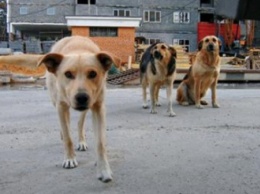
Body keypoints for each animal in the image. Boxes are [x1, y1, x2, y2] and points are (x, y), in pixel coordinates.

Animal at [37, 35, 120, 183]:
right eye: (68, 74)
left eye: (93, 73)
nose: (81, 97)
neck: (78, 49)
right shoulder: (61, 105)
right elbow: (68, 137)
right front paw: (70, 158)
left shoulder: (98, 107)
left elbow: (100, 143)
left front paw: (104, 169)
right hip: (56, 102)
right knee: (66, 124)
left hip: (87, 107)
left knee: (79, 122)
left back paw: (81, 141)